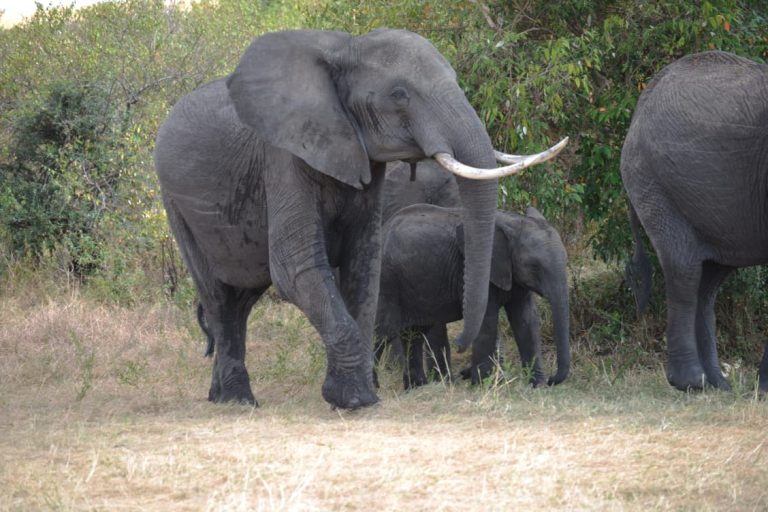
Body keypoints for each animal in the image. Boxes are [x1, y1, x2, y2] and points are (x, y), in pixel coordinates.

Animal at [375, 204, 570, 389]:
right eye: (534, 266)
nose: (552, 380)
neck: (514, 222)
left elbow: (526, 320)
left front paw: (537, 386)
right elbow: (487, 321)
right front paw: (483, 386)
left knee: (413, 333)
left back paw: (417, 388)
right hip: (386, 282)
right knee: (381, 332)